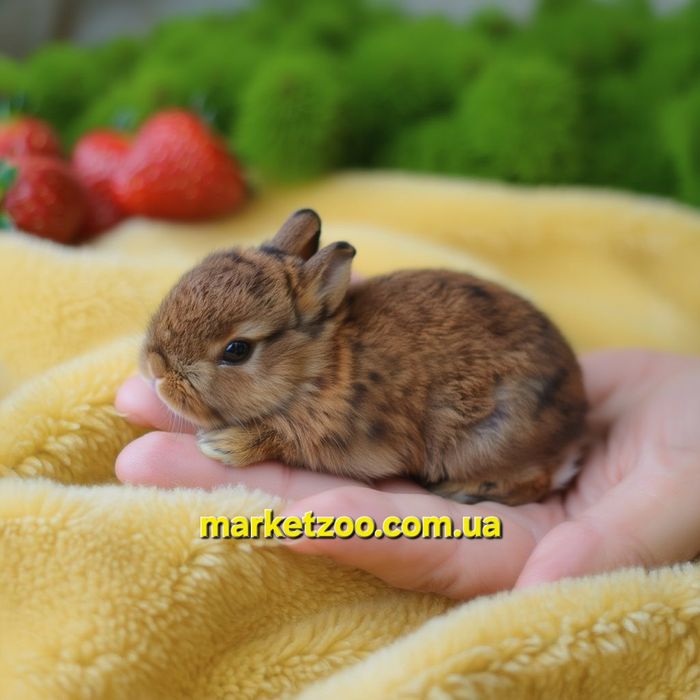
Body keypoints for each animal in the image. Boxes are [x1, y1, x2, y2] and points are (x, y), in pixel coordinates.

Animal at [140, 209, 588, 506]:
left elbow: (284, 437)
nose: (155, 369)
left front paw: (222, 445)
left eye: (237, 350)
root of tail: (577, 424)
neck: (321, 365)